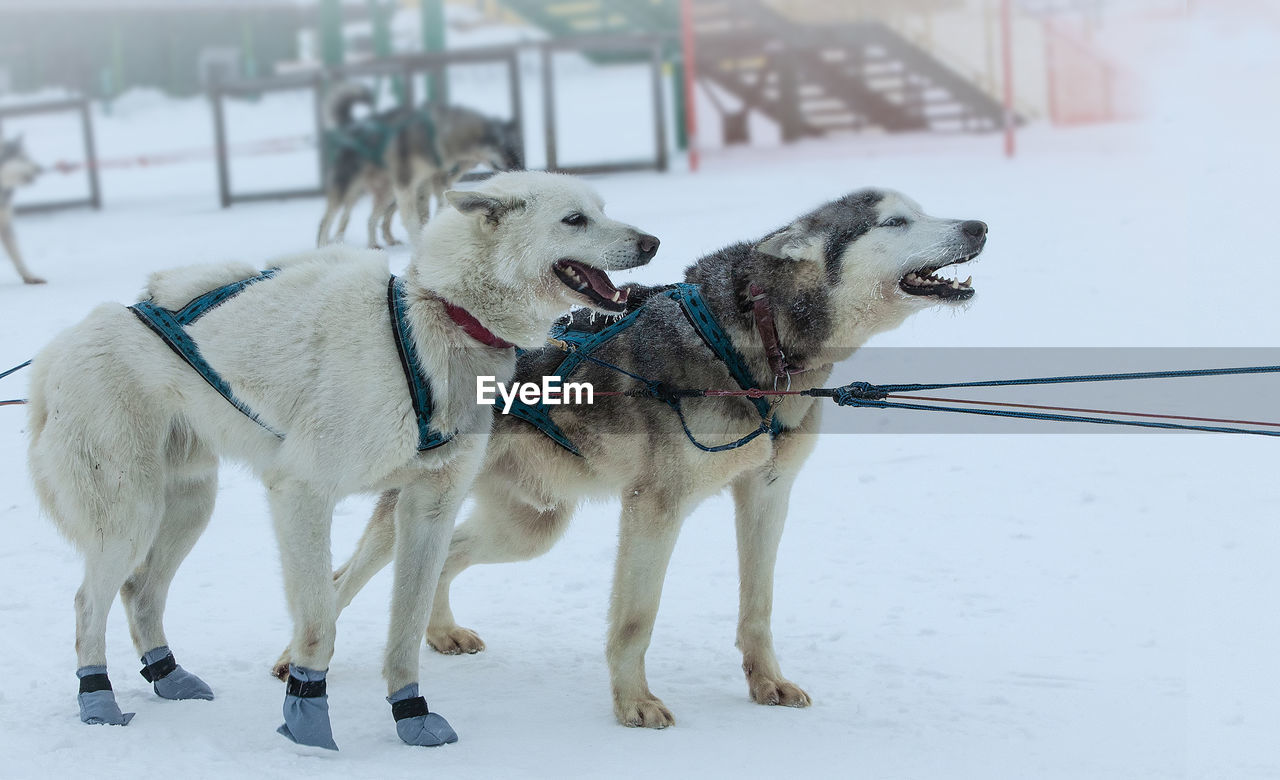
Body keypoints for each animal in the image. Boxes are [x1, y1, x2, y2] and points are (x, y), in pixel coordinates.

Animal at [27, 171, 660, 747]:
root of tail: (60, 347)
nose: (652, 242)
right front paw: (307, 719)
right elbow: (319, 622)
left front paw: (411, 716)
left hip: (189, 507)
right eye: (574, 219)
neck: (430, 324)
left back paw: (169, 676)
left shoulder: (429, 508)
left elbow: (406, 625)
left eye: (604, 209)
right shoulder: (302, 494)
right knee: (88, 601)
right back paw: (98, 699)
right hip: (130, 516)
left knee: (140, 592)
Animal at [285, 189, 993, 727]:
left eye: (919, 209)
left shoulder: (768, 492)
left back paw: (439, 632)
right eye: (895, 222)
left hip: (530, 526)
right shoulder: (657, 507)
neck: (755, 341)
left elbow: (757, 606)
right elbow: (635, 619)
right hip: (428, 510)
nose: (979, 224)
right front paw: (633, 704)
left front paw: (766, 684)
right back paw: (296, 657)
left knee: (444, 558)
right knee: (345, 576)